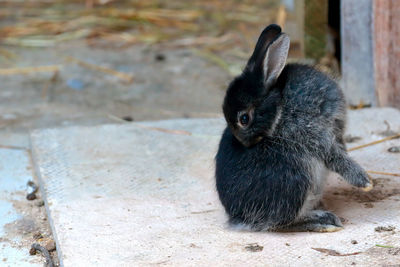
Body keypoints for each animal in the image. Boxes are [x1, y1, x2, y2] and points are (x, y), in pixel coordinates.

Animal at [216, 24, 372, 232]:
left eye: (244, 119)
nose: (244, 143)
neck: (281, 102)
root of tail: (240, 218)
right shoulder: (310, 133)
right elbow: (334, 157)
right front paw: (366, 182)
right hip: (297, 182)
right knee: (283, 223)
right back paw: (323, 221)